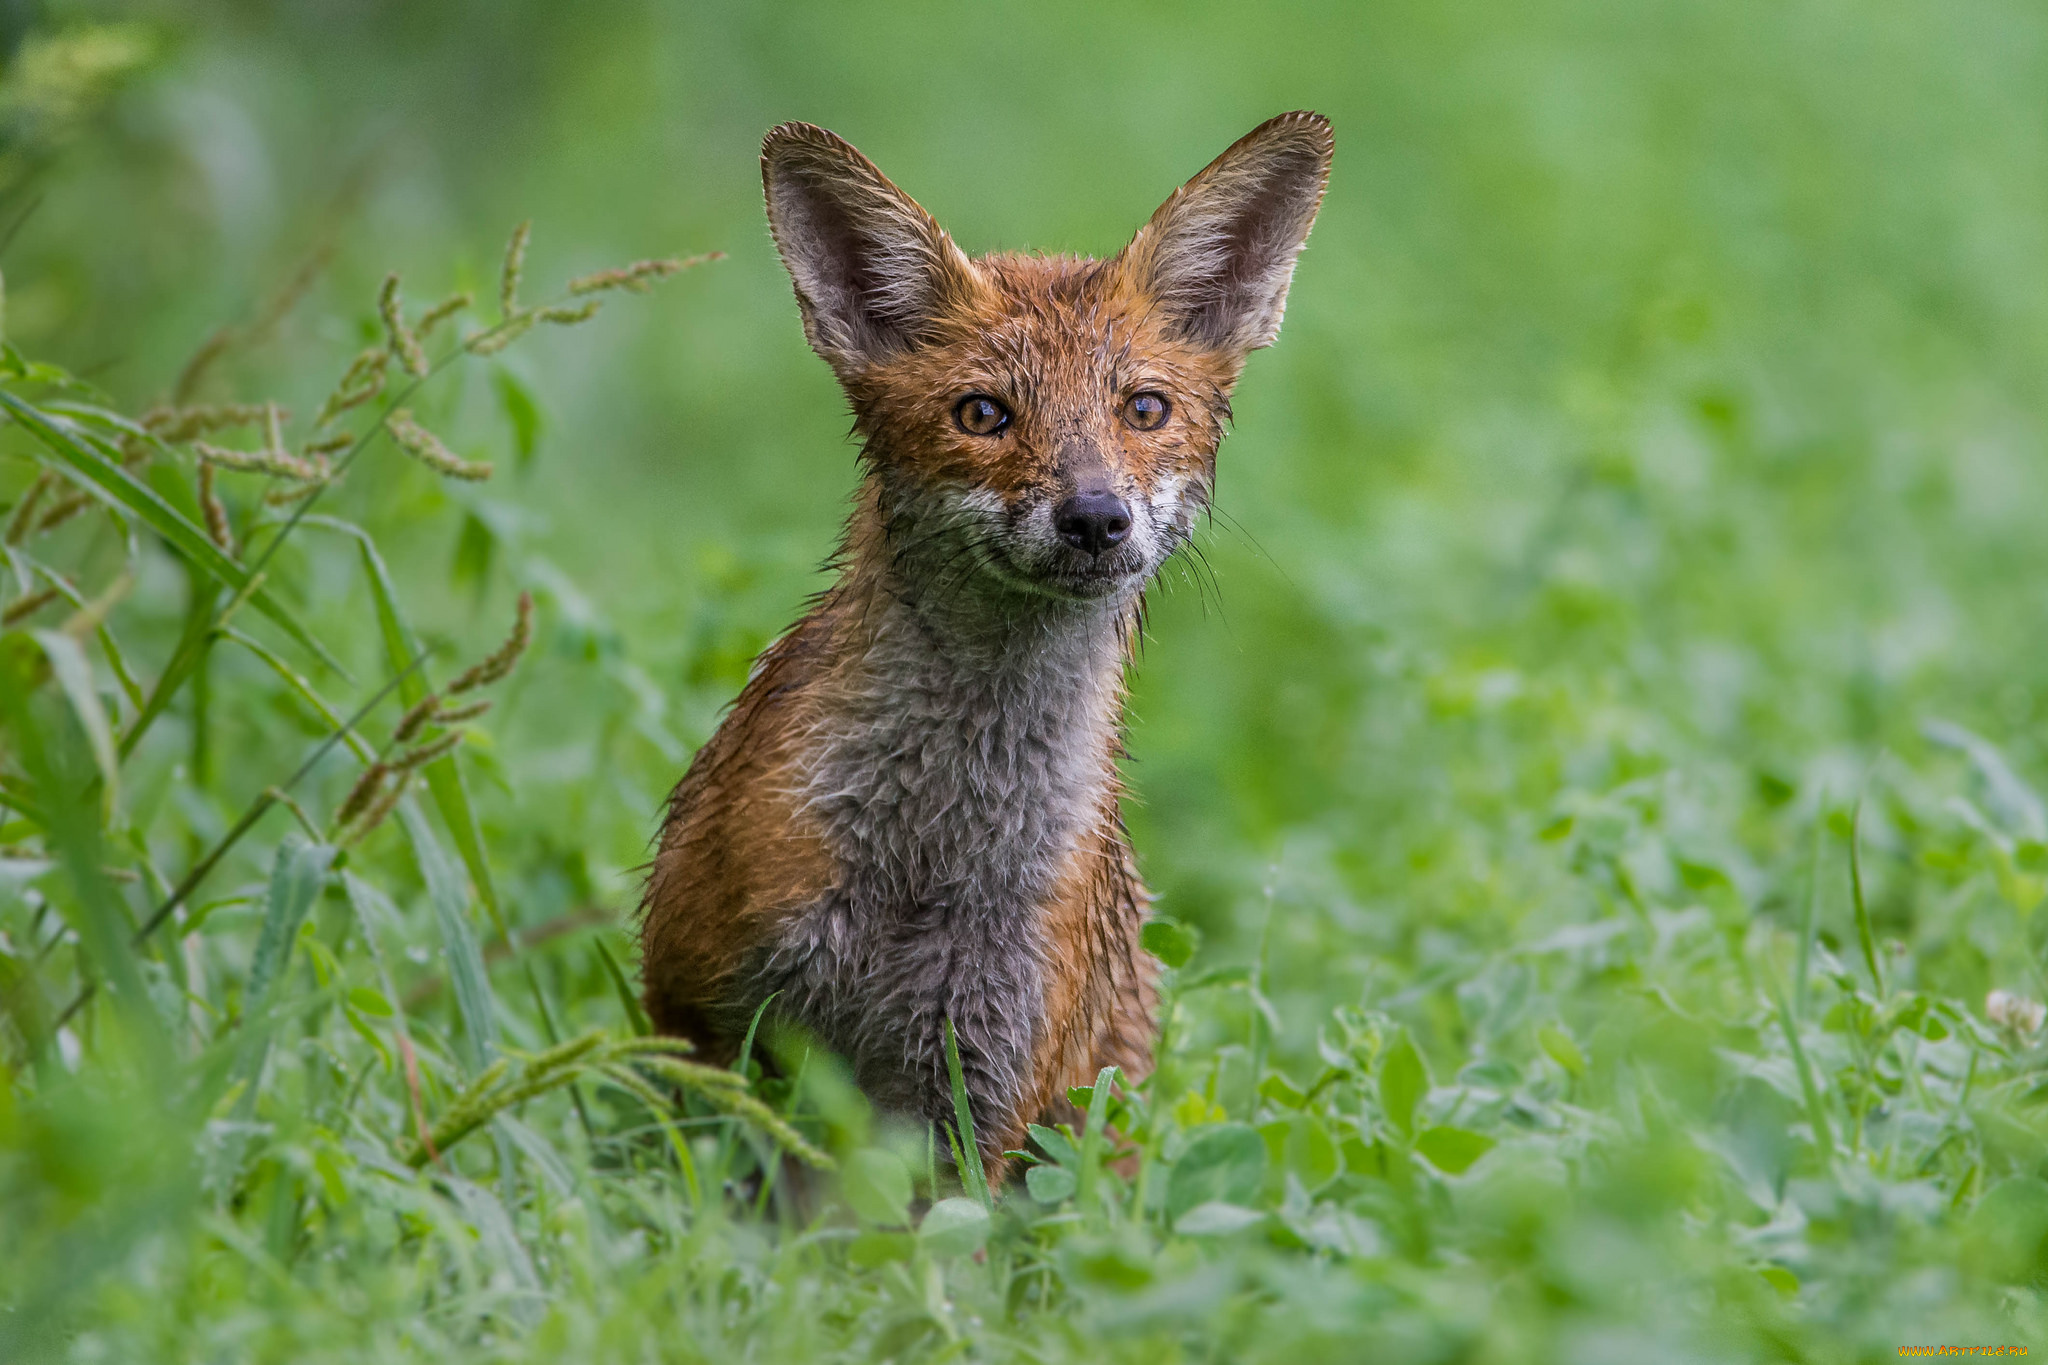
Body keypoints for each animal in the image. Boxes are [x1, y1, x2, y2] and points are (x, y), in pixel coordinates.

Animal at [647, 112, 1335, 1178]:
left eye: (1144, 408)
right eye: (983, 414)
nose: (1094, 516)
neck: (930, 849)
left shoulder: (979, 1079)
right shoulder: (706, 1017)